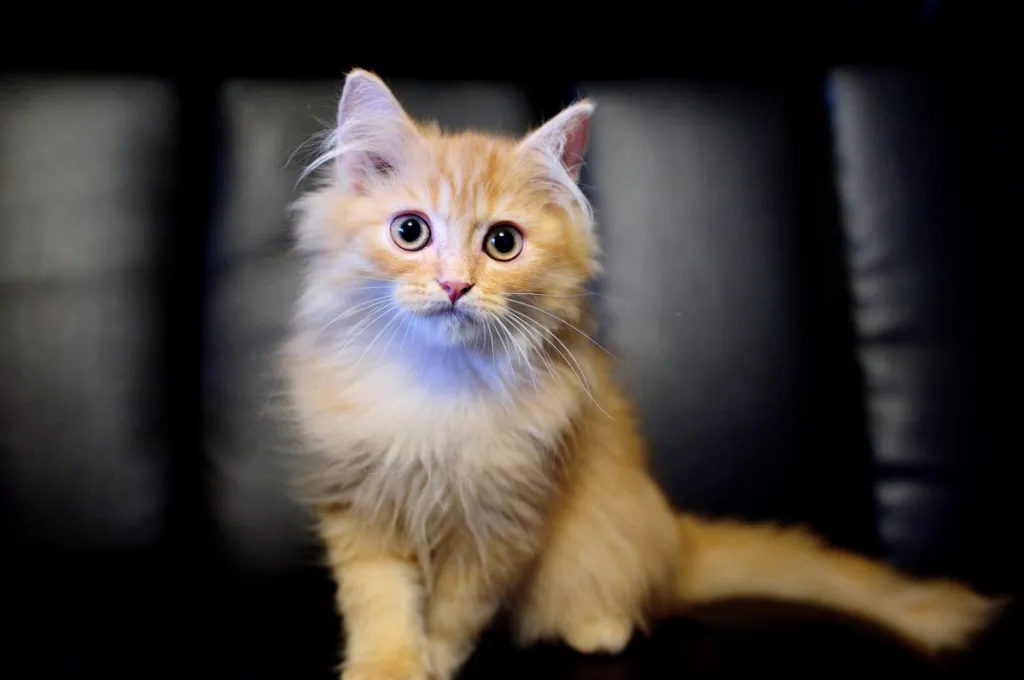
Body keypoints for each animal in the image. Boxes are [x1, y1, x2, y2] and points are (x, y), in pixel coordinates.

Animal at [282, 70, 1007, 680]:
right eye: (410, 231)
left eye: (502, 243)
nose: (455, 286)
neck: (440, 380)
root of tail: (674, 539)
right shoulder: (359, 501)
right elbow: (382, 605)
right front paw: (389, 668)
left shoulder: (505, 518)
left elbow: (454, 613)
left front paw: (434, 660)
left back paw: (598, 629)